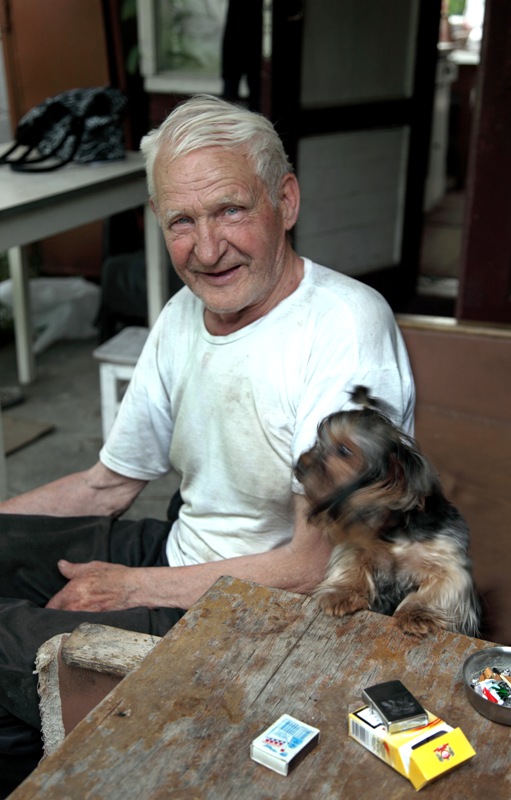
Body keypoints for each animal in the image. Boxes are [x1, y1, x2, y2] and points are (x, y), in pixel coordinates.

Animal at [294, 387, 481, 638]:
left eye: (343, 450)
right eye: (317, 442)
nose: (300, 465)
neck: (395, 529)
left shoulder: (448, 563)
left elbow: (436, 589)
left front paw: (418, 613)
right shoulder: (358, 546)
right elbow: (352, 565)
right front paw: (341, 594)